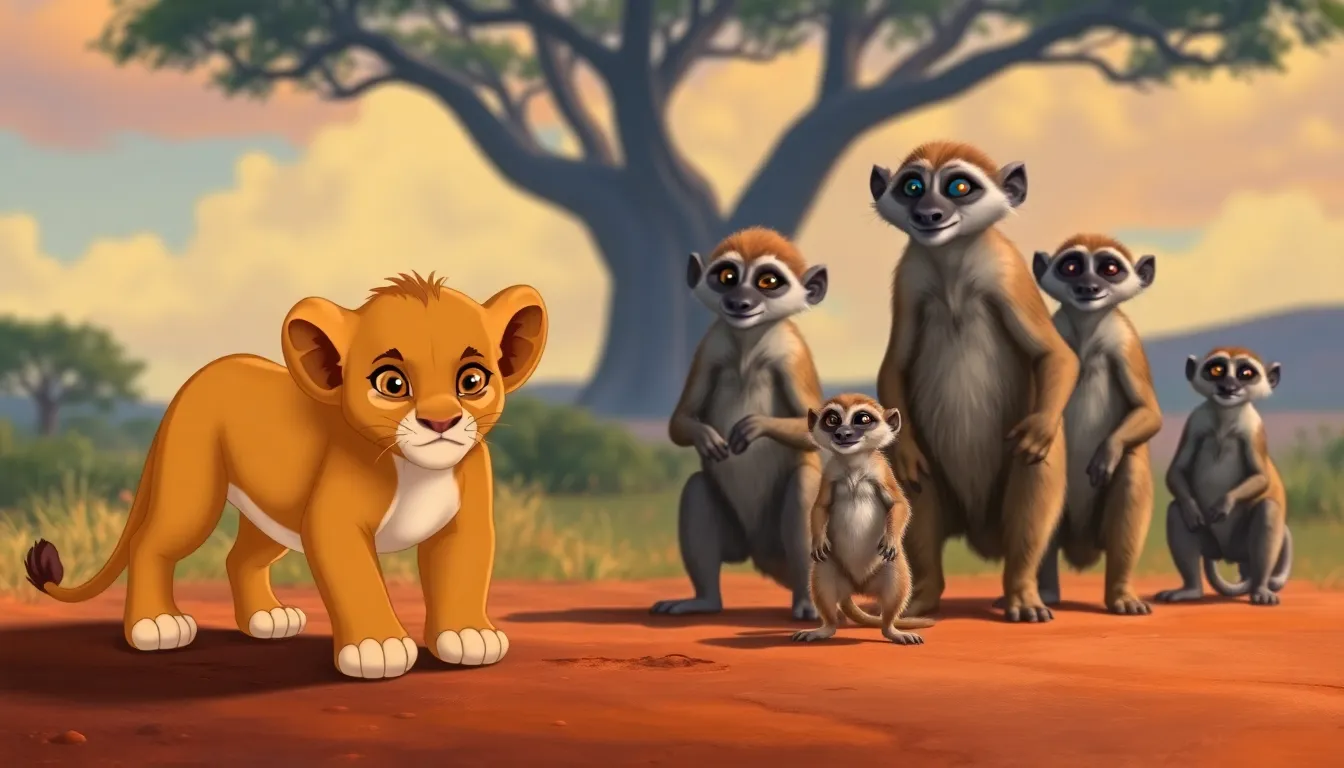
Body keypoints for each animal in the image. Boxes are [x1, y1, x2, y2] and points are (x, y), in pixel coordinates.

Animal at [22, 272, 548, 680]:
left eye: (472, 380)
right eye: (392, 383)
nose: (441, 423)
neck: (417, 470)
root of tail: (202, 375)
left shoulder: (467, 520)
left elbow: (464, 570)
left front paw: (468, 635)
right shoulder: (333, 522)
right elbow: (357, 578)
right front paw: (377, 647)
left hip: (273, 515)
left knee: (239, 558)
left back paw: (267, 619)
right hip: (194, 494)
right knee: (151, 543)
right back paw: (156, 625)